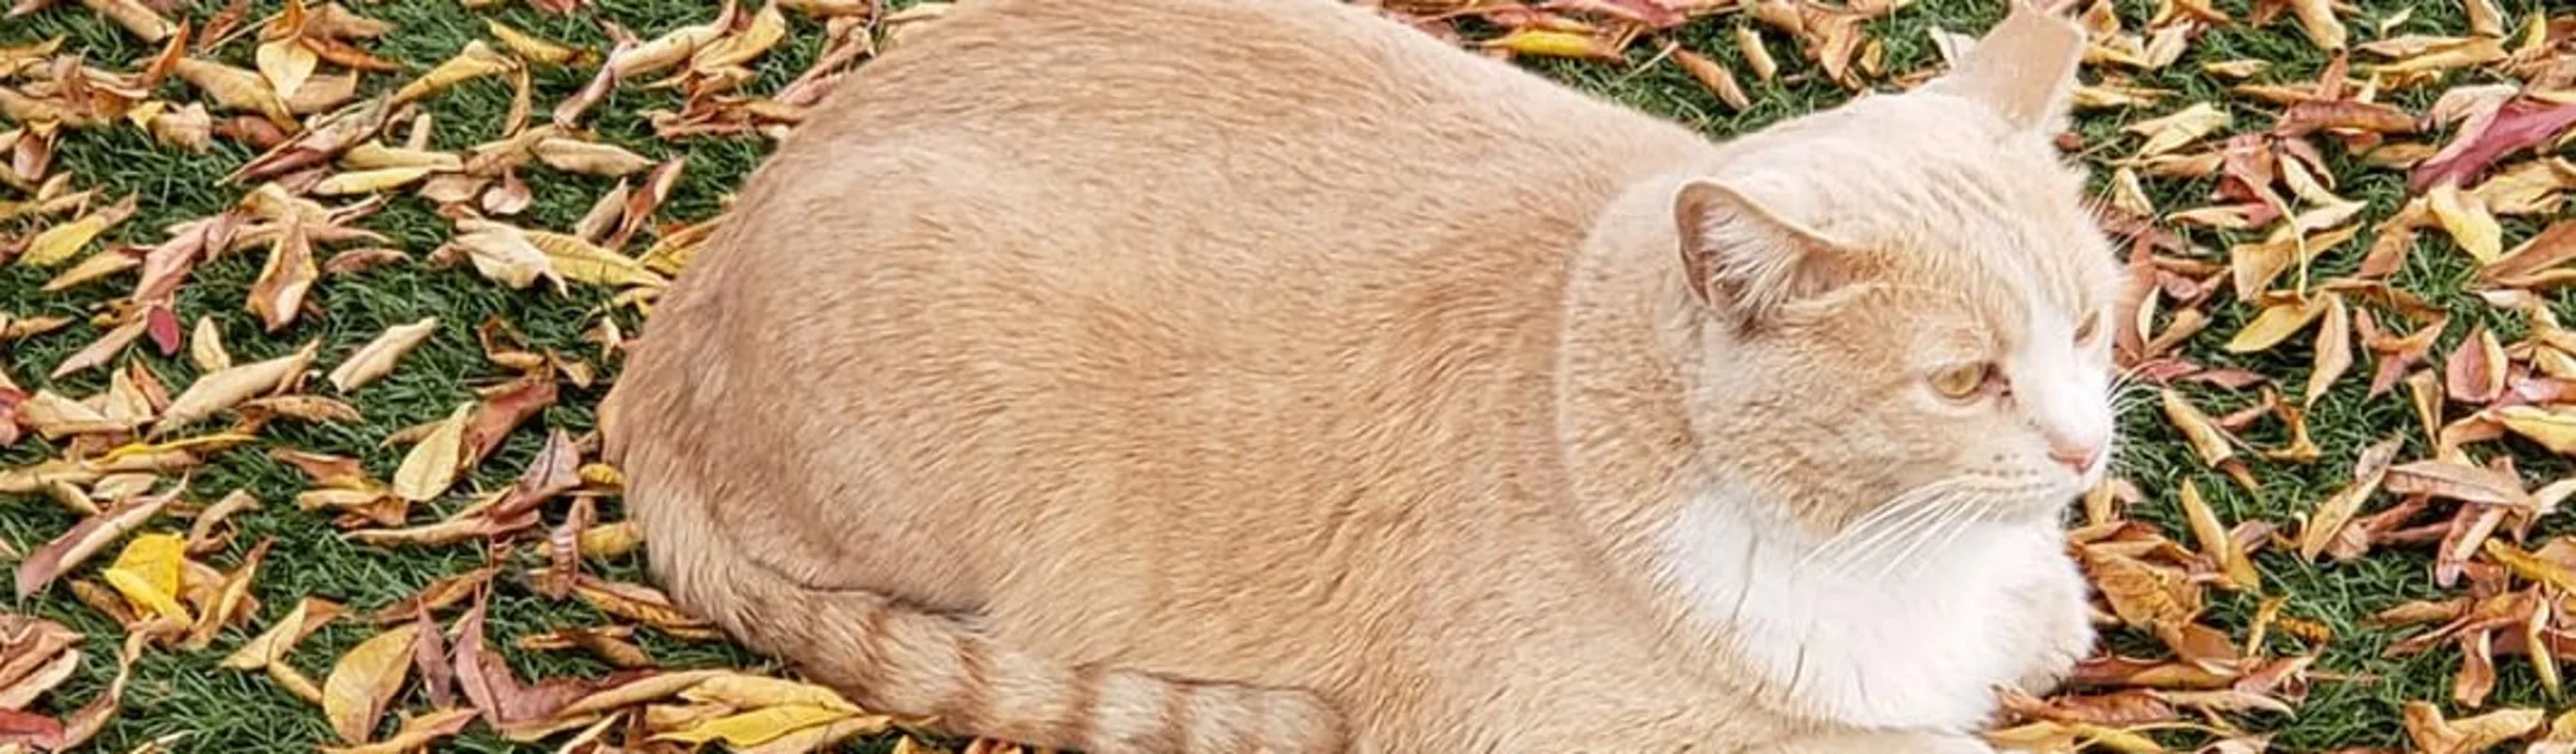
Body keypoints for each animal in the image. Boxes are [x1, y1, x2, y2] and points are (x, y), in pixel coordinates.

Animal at [597, 1, 2112, 746]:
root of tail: (669, 326)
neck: (1893, 554)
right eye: (1963, 380)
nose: (2085, 451)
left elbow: (2043, 621)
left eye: (2093, 326)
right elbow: (1915, 741)